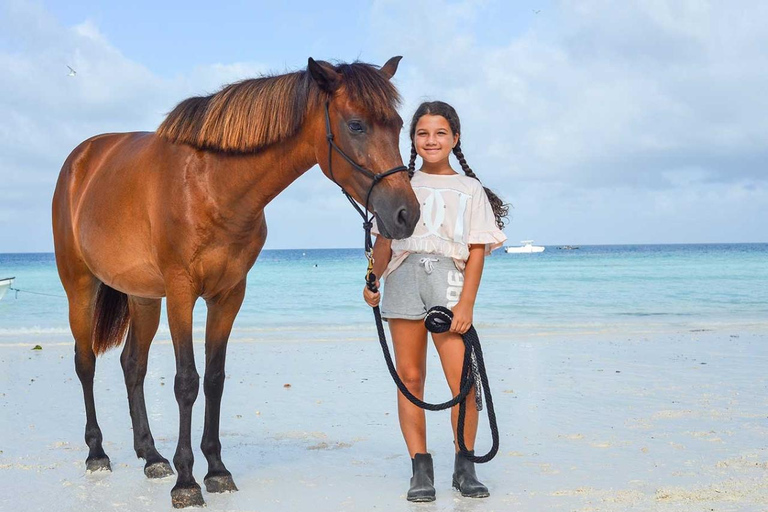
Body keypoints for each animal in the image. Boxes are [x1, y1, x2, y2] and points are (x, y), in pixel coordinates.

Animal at [52, 57, 420, 508]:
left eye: (398, 125)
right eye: (355, 125)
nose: (406, 214)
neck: (211, 185)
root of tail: (80, 160)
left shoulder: (228, 295)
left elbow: (214, 378)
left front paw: (216, 470)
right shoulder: (181, 293)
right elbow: (187, 382)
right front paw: (187, 481)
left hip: (142, 297)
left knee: (132, 365)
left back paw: (151, 455)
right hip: (80, 286)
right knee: (85, 362)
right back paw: (97, 452)